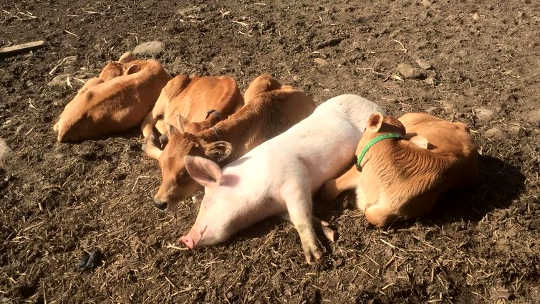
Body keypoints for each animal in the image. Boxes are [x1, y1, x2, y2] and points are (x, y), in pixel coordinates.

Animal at [181, 95, 384, 264]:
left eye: (207, 203)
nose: (185, 239)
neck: (263, 206)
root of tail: (372, 103)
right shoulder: (279, 207)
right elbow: (296, 217)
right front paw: (329, 231)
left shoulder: (295, 178)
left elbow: (300, 216)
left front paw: (314, 257)